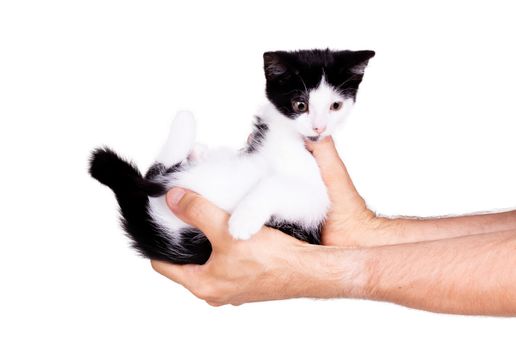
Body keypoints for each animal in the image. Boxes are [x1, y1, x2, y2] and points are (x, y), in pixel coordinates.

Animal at [89, 48, 374, 262]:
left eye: (335, 106)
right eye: (300, 105)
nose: (319, 128)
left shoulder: (315, 203)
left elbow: (278, 184)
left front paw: (242, 220)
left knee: (156, 174)